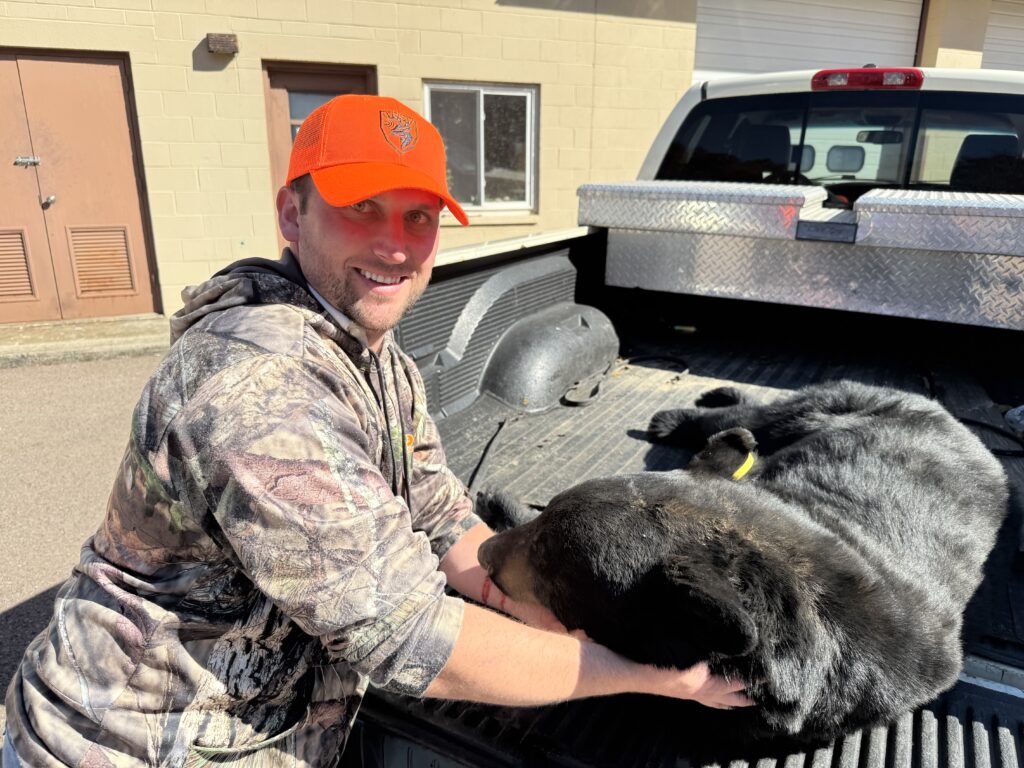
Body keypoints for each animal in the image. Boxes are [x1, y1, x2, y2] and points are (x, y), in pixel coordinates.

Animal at [477, 382, 1007, 741]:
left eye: (548, 557)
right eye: (549, 516)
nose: (483, 555)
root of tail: (951, 418)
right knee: (762, 415)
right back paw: (691, 413)